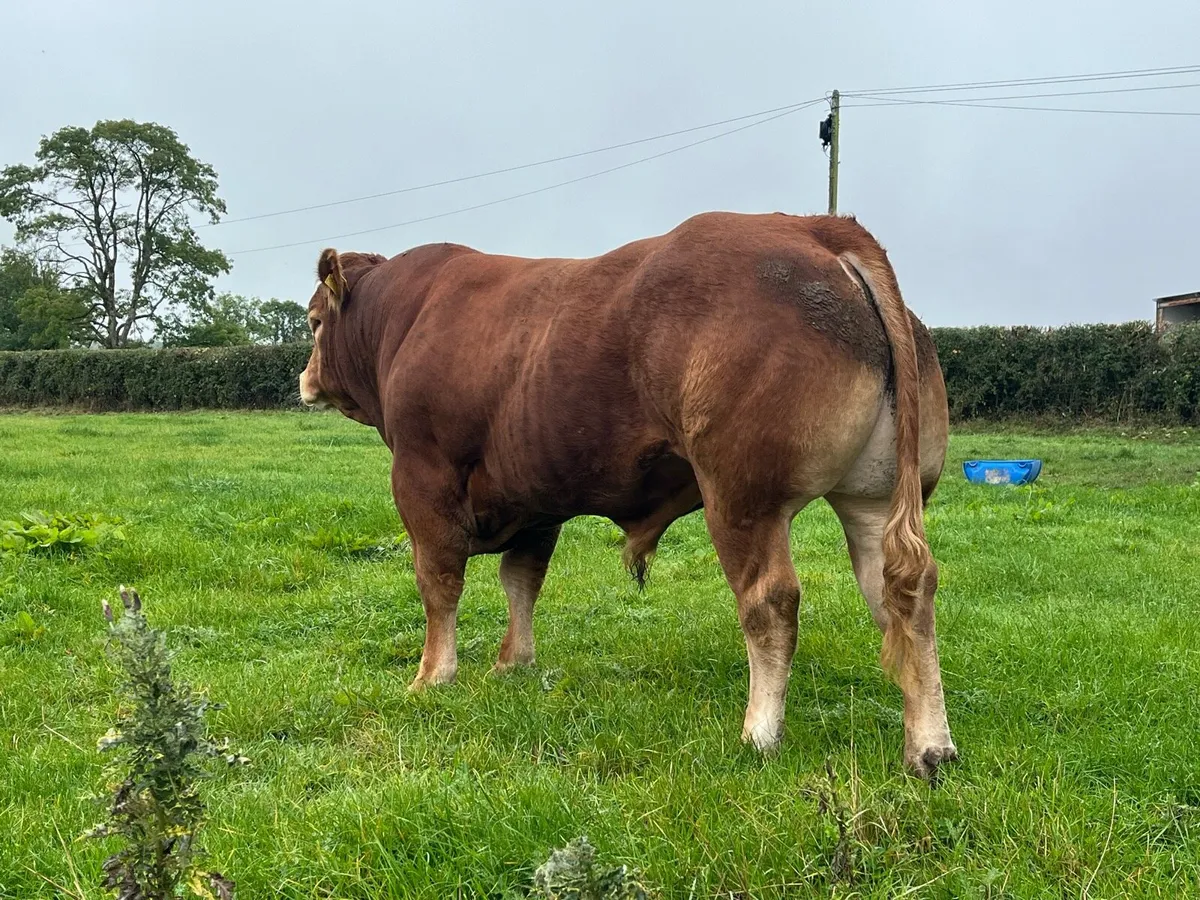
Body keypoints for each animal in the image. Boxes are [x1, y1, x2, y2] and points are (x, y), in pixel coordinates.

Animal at [299, 211, 956, 777]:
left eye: (311, 322)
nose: (304, 378)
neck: (403, 320)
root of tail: (818, 229)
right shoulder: (535, 496)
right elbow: (521, 580)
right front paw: (513, 664)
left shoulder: (422, 480)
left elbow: (439, 584)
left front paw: (433, 677)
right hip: (874, 496)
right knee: (902, 591)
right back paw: (930, 746)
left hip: (743, 497)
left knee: (771, 601)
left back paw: (759, 733)